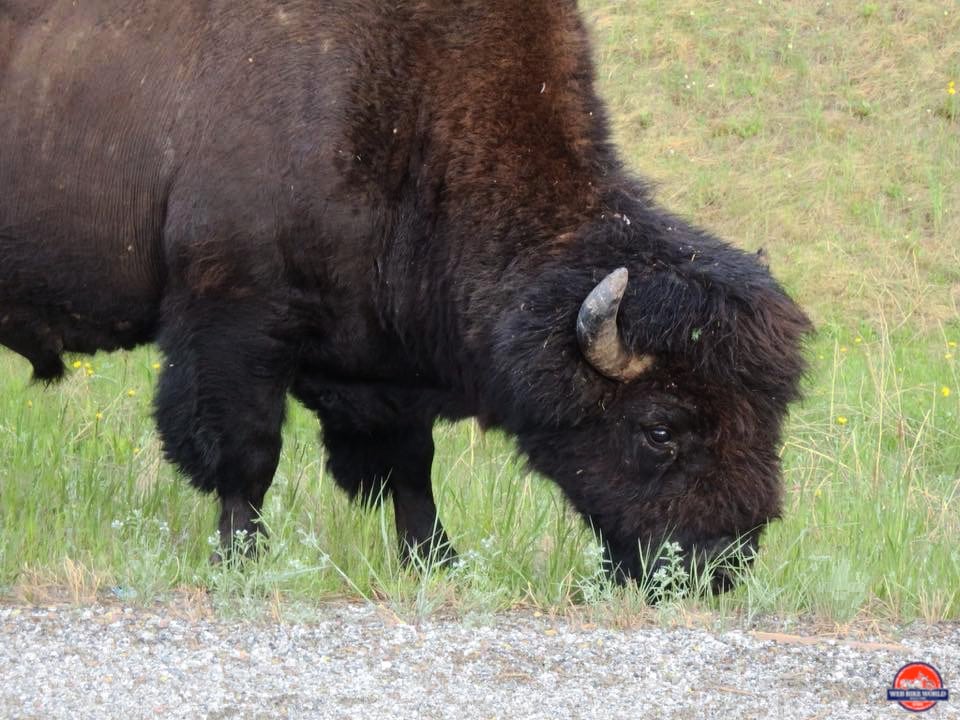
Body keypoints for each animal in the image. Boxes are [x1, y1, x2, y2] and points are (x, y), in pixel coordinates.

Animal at [0, 1, 808, 592]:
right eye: (660, 429)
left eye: (771, 419)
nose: (720, 566)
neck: (411, 107)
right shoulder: (234, 326)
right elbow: (247, 456)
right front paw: (241, 563)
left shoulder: (380, 366)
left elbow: (410, 471)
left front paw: (437, 564)